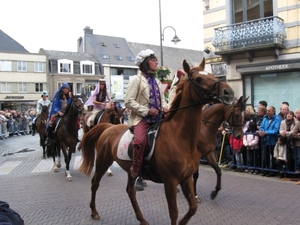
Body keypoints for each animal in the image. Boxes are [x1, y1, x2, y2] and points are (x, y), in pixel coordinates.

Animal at [77, 58, 234, 225]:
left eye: (211, 75)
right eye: (198, 79)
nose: (228, 92)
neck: (180, 138)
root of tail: (109, 127)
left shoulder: (186, 178)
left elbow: (192, 208)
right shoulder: (170, 181)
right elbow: (174, 212)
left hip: (130, 170)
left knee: (130, 191)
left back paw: (142, 219)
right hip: (103, 162)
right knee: (95, 183)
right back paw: (94, 212)